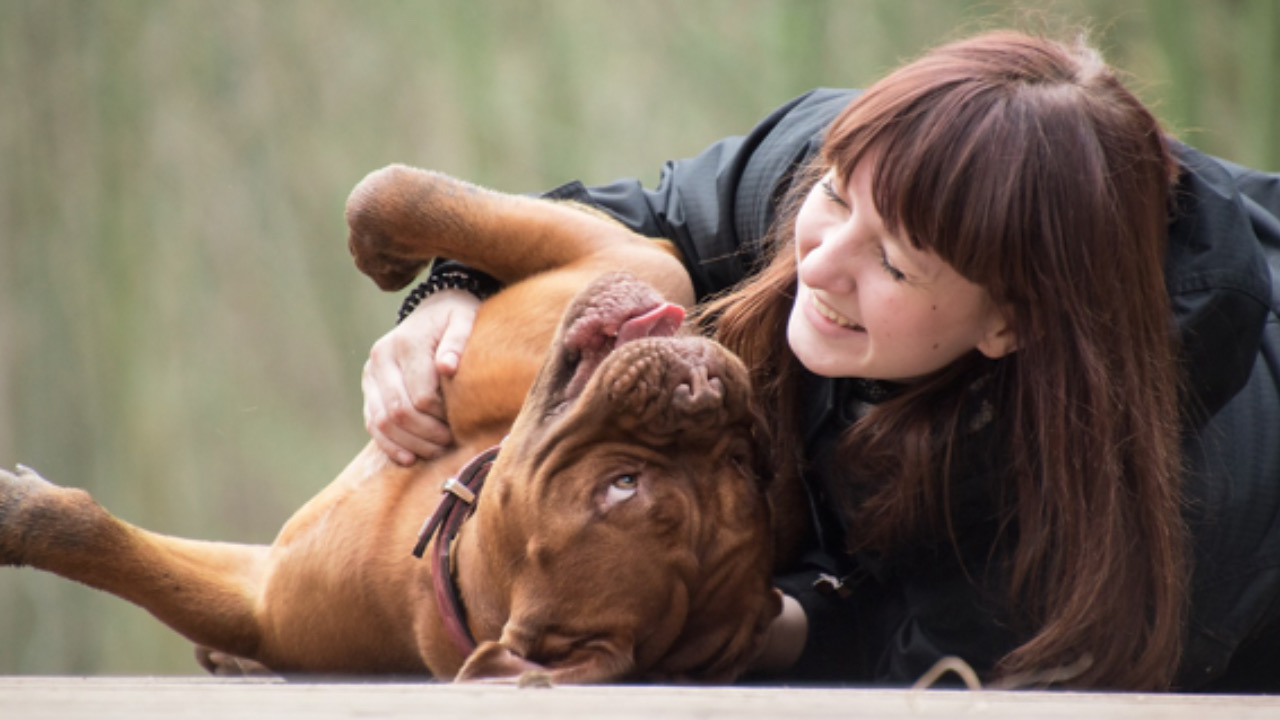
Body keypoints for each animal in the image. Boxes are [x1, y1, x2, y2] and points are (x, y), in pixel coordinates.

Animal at [0, 165, 783, 681]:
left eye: (621, 486)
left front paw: (22, 513)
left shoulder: (261, 603)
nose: (702, 390)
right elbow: (390, 192)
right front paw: (388, 259)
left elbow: (104, 544)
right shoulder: (624, 253)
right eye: (742, 465)